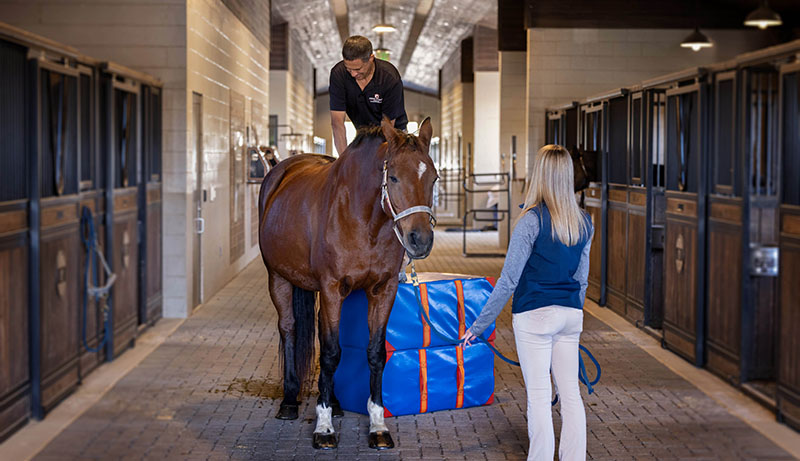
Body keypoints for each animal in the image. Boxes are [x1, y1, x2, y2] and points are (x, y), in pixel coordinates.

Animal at [260, 117, 438, 448]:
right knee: (289, 328)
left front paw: (378, 425)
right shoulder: (332, 288)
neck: (364, 219)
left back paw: (335, 401)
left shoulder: (382, 290)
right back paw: (290, 400)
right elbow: (330, 354)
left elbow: (375, 353)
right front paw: (324, 427)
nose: (420, 240)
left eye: (433, 178)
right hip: (278, 278)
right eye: (393, 177)